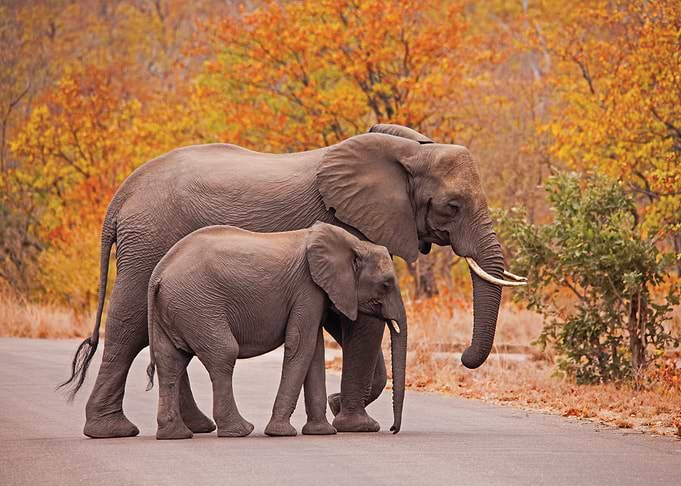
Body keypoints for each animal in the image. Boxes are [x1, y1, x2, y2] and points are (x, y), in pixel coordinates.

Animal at [145, 222, 407, 439]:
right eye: (386, 284)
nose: (393, 429)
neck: (353, 244)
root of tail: (159, 274)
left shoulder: (315, 294)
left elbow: (314, 351)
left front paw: (321, 432)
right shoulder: (307, 288)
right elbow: (301, 344)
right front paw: (281, 433)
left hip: (176, 309)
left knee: (170, 362)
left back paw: (175, 435)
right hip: (199, 306)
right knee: (224, 354)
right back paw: (239, 431)